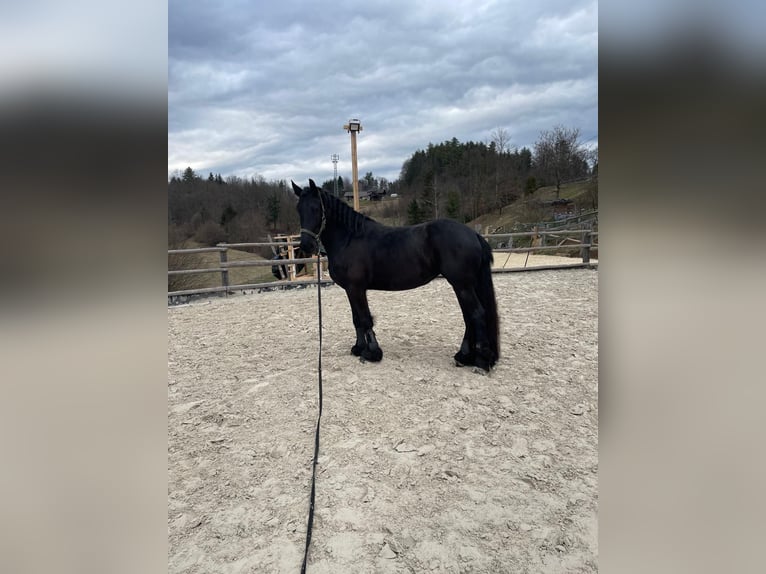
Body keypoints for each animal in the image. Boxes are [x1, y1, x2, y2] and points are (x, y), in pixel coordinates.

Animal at [292, 179, 499, 373]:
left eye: (316, 208)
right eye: (298, 209)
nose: (306, 245)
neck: (349, 238)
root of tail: (473, 234)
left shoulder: (356, 288)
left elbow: (365, 319)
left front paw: (372, 353)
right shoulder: (350, 290)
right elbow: (356, 319)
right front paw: (358, 348)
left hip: (462, 285)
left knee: (476, 314)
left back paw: (480, 362)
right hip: (464, 286)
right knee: (469, 316)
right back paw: (464, 356)